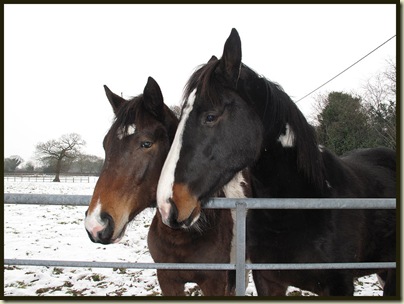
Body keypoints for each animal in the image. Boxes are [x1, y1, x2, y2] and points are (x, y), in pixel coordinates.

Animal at [84, 77, 249, 296]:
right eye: (105, 144)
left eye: (146, 144)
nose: (96, 224)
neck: (181, 236)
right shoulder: (167, 279)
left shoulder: (215, 283)